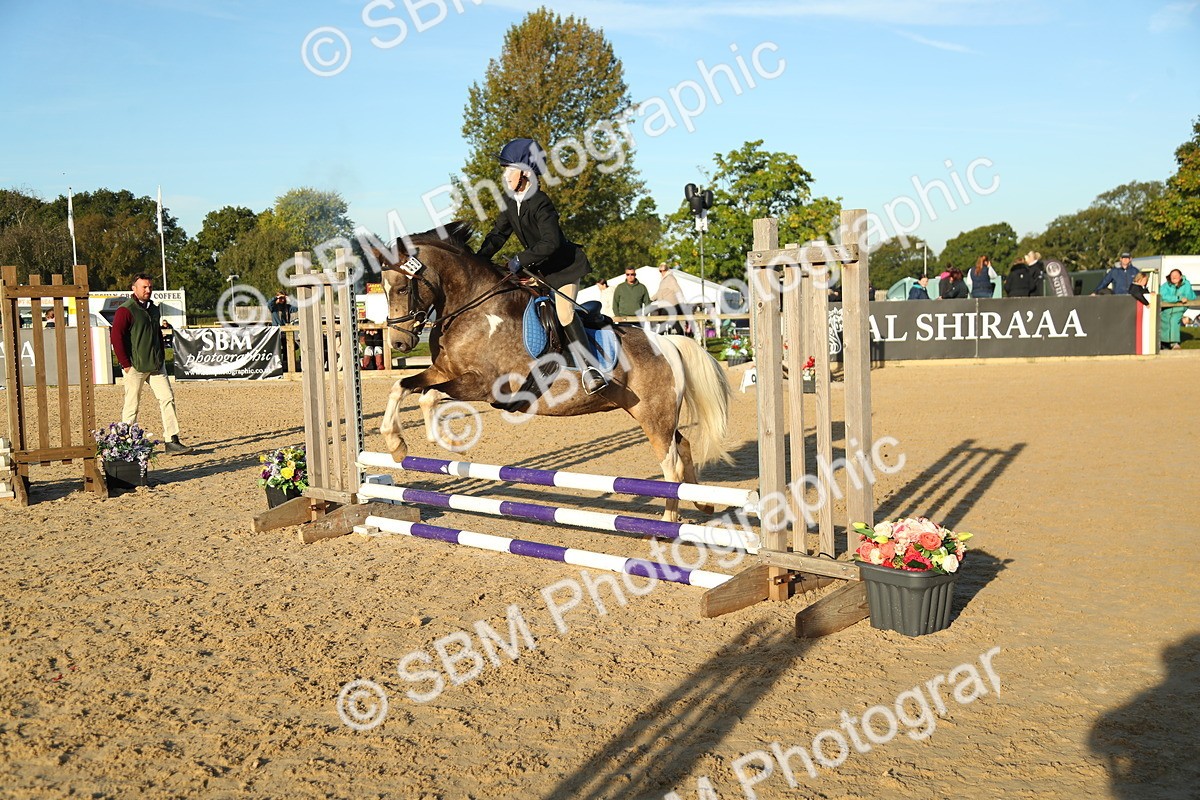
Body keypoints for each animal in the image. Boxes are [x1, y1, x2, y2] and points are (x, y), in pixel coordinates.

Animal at [374, 222, 732, 522]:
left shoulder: (485, 386)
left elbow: (430, 396)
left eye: (403, 288)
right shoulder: (443, 370)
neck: (474, 309)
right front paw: (396, 444)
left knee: (670, 463)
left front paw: (444, 440)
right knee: (682, 447)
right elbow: (403, 387)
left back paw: (668, 523)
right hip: (650, 412)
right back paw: (702, 503)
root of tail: (668, 343)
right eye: (384, 288)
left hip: (655, 416)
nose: (400, 342)